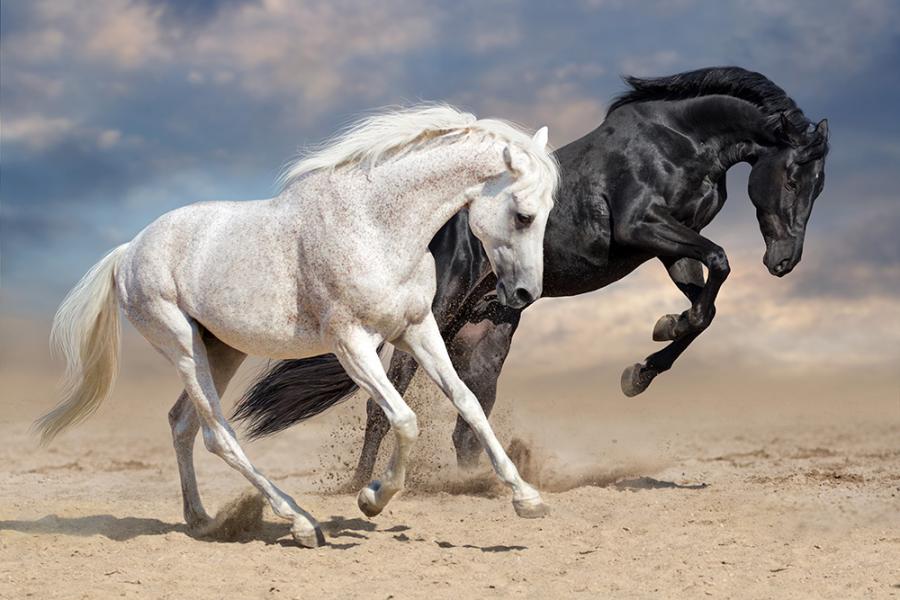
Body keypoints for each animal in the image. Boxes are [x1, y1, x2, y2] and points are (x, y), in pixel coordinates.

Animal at [38, 104, 560, 548]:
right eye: (523, 215)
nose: (523, 295)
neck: (375, 226)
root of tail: (129, 250)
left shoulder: (417, 329)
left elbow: (467, 402)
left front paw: (527, 499)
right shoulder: (351, 344)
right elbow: (404, 419)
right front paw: (371, 498)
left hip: (222, 349)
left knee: (182, 424)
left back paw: (202, 520)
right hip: (183, 346)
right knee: (217, 434)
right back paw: (301, 523)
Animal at [232, 67, 828, 488]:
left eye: (819, 184)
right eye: (794, 177)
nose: (784, 261)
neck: (677, 141)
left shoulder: (669, 247)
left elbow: (705, 305)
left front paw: (646, 360)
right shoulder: (645, 227)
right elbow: (721, 264)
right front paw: (651, 351)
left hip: (484, 332)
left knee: (468, 418)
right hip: (431, 321)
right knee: (384, 406)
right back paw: (360, 486)